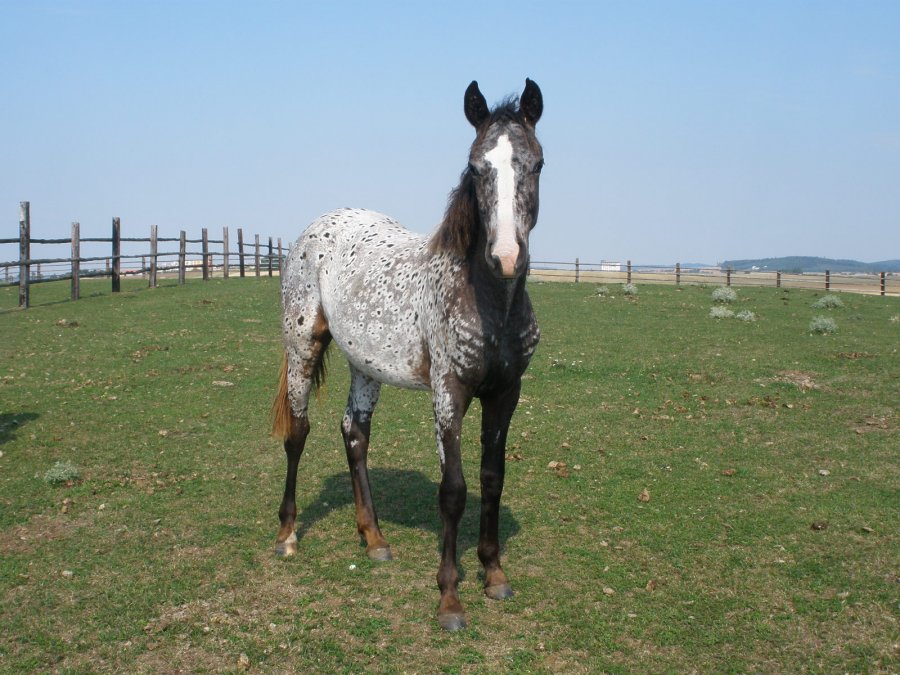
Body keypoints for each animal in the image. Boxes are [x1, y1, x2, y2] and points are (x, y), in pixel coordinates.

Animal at [271, 79, 544, 631]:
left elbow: (493, 479)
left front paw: (494, 575)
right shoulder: (448, 392)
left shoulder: (505, 393)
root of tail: (319, 225)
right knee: (299, 432)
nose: (505, 257)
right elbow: (454, 490)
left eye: (537, 164)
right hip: (303, 344)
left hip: (364, 364)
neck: (488, 302)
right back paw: (287, 535)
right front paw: (449, 598)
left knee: (355, 434)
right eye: (476, 167)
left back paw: (374, 539)